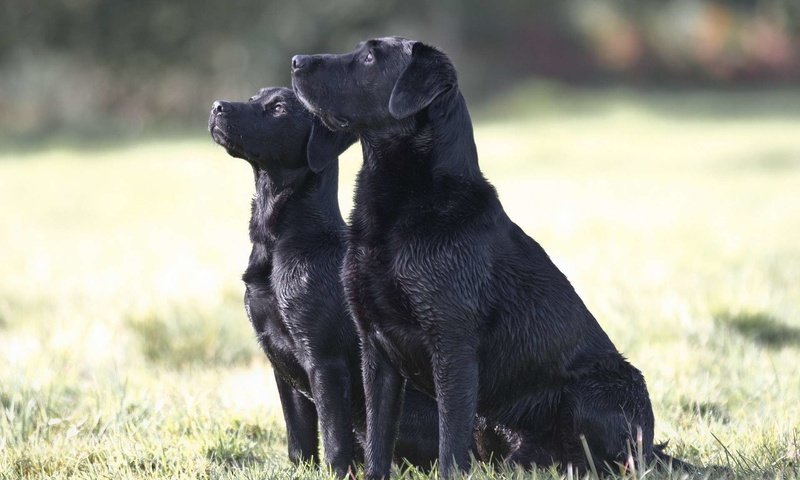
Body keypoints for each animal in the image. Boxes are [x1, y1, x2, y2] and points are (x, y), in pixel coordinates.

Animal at [206, 87, 438, 476]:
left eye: (279, 109)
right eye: (254, 97)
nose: (216, 106)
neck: (280, 243)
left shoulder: (324, 361)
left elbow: (332, 442)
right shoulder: (280, 361)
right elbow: (299, 442)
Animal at [290, 38, 672, 480]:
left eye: (369, 57)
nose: (296, 61)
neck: (405, 210)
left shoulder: (452, 343)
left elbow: (449, 446)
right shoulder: (374, 347)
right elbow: (377, 439)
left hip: (597, 390)